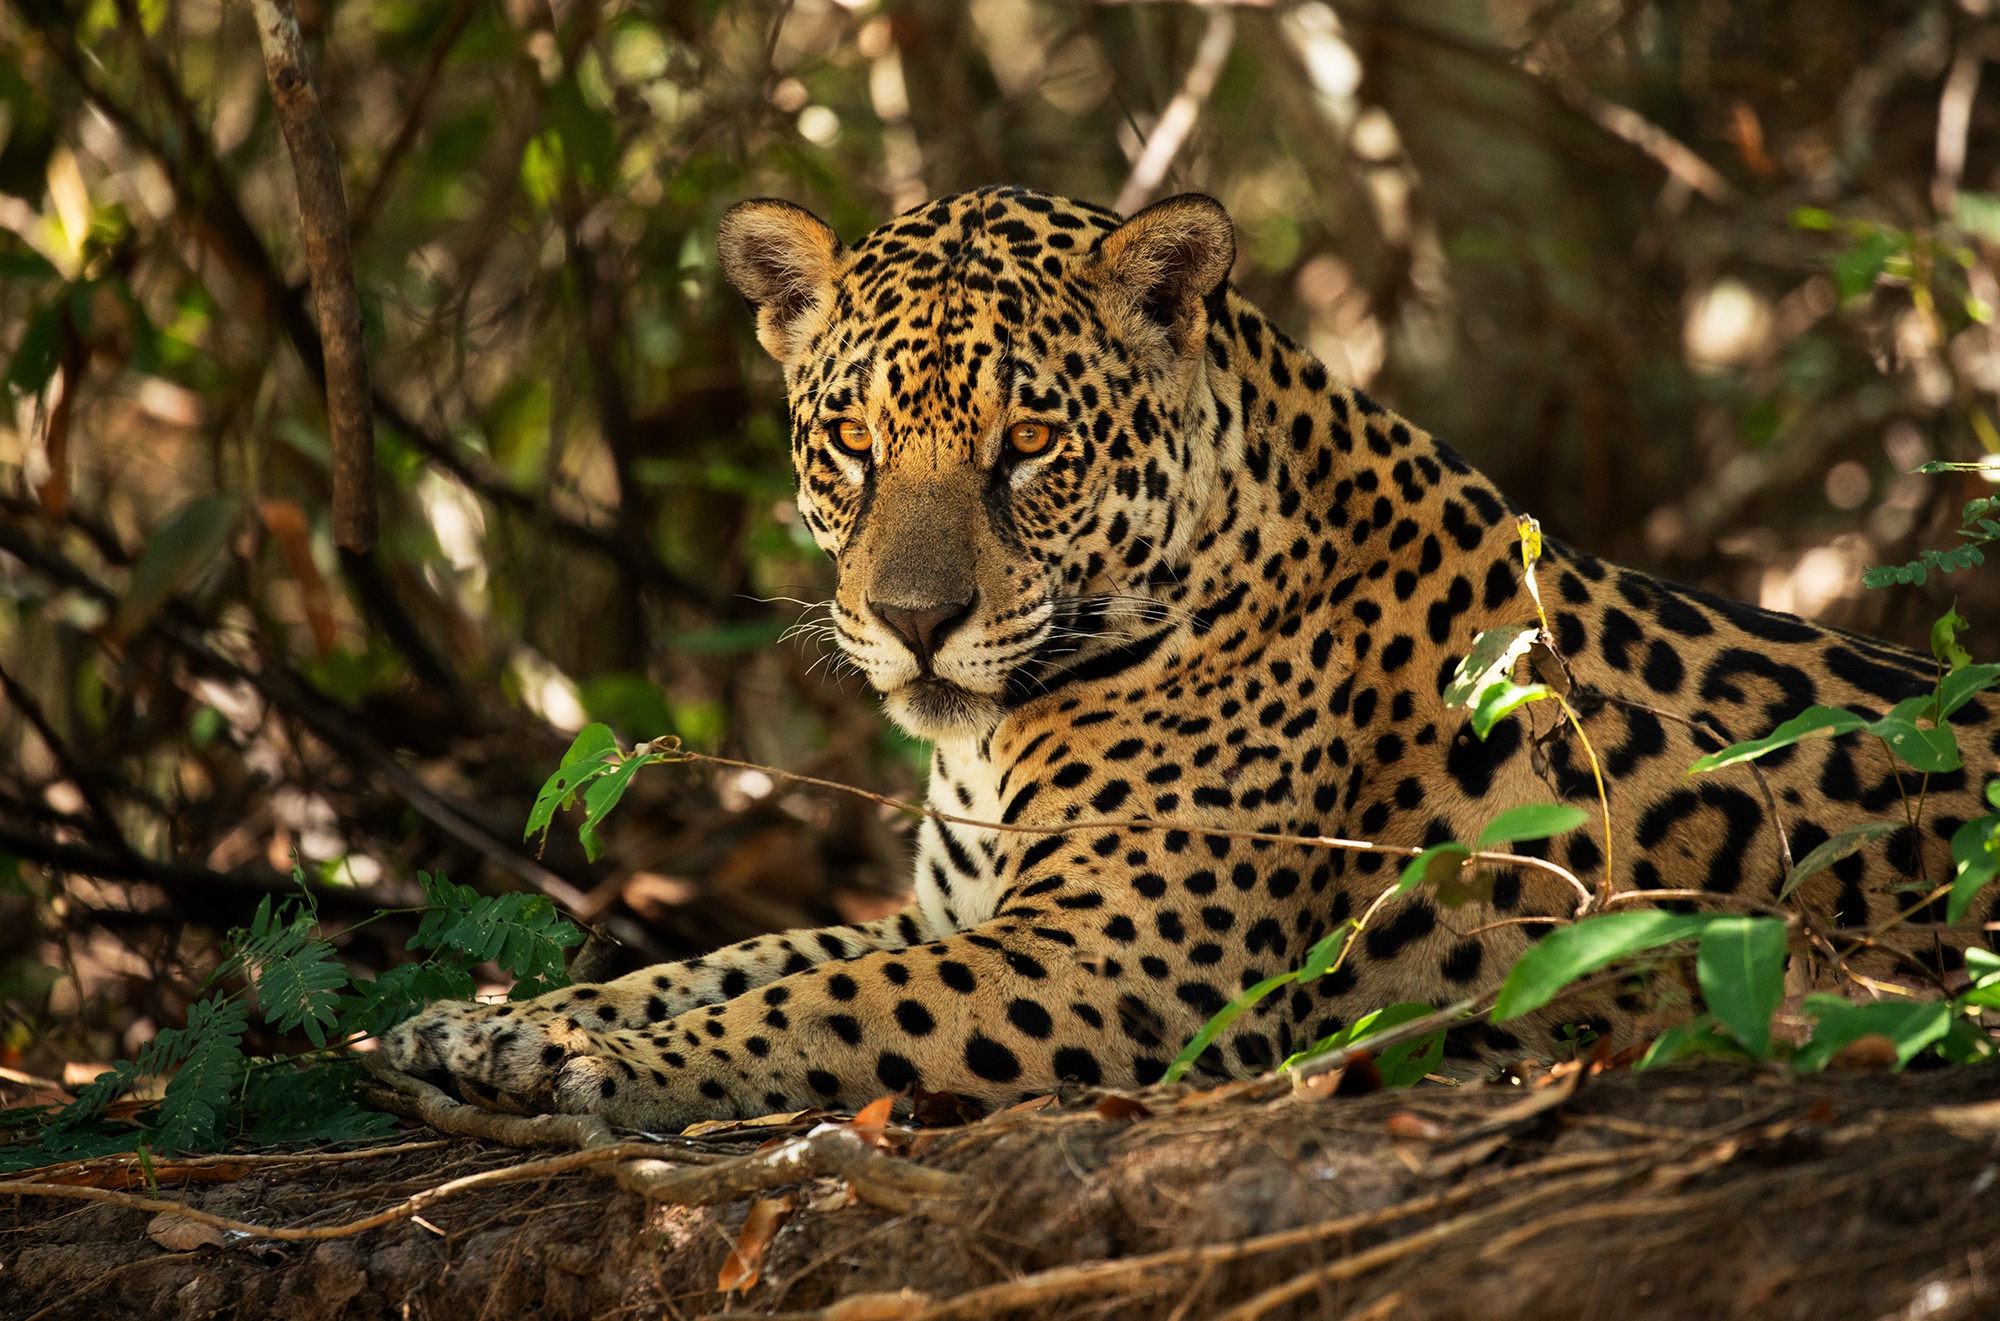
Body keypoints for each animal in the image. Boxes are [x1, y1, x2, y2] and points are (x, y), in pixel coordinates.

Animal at [384, 185, 2000, 1127]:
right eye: (848, 440)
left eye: (1029, 444)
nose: (912, 622)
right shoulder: (957, 913)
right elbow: (743, 957)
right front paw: (495, 1026)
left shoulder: (1112, 964)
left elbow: (816, 1004)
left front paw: (598, 1067)